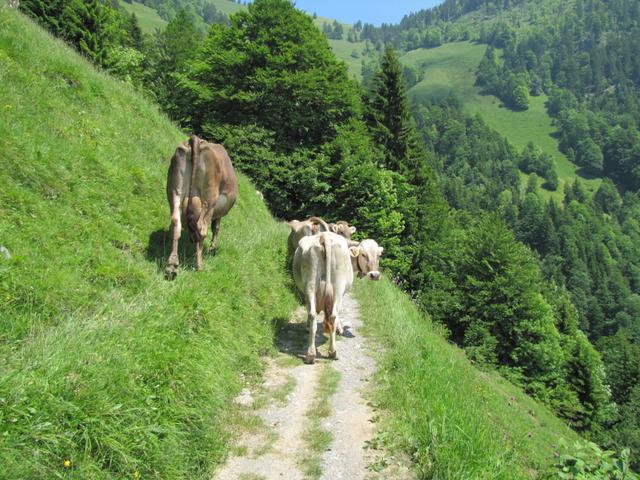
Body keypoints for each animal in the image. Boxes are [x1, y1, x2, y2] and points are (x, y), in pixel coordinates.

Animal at [165, 134, 238, 278]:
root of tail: (196, 140)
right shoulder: (217, 213)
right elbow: (216, 228)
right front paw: (212, 248)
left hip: (175, 189)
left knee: (176, 222)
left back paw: (172, 265)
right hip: (208, 200)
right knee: (202, 227)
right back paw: (199, 265)